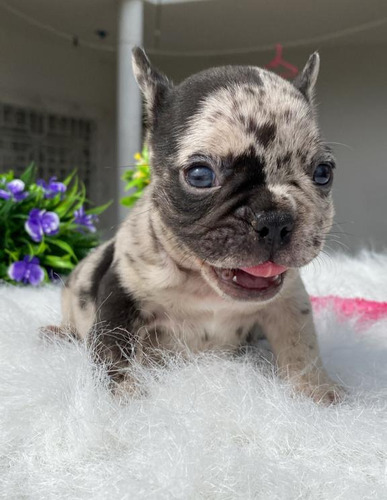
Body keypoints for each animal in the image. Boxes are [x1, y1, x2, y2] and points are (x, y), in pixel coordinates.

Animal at [60, 48, 346, 404]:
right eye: (200, 175)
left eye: (323, 173)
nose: (274, 219)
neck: (203, 284)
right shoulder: (121, 294)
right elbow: (114, 349)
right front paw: (124, 395)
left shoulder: (289, 301)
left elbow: (302, 345)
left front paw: (317, 391)